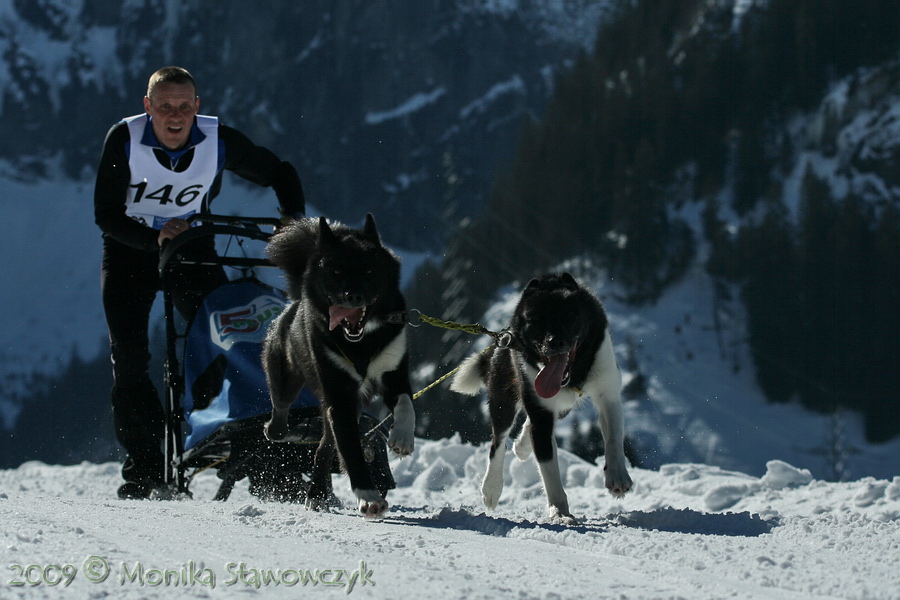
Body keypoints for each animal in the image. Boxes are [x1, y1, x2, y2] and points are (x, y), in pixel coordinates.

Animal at [260, 216, 414, 520]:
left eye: (369, 270)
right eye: (336, 271)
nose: (353, 296)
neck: (362, 343)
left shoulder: (394, 374)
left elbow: (405, 403)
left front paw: (402, 437)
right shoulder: (340, 395)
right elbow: (352, 451)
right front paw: (369, 497)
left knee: (324, 448)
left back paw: (318, 492)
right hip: (286, 380)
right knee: (281, 420)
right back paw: (283, 431)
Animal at [450, 274, 632, 524]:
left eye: (569, 315)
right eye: (536, 319)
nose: (555, 342)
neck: (575, 371)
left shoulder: (608, 393)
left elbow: (613, 439)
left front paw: (617, 476)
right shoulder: (540, 412)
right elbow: (549, 468)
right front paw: (560, 511)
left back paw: (522, 445)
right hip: (504, 400)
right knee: (498, 442)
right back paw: (492, 488)